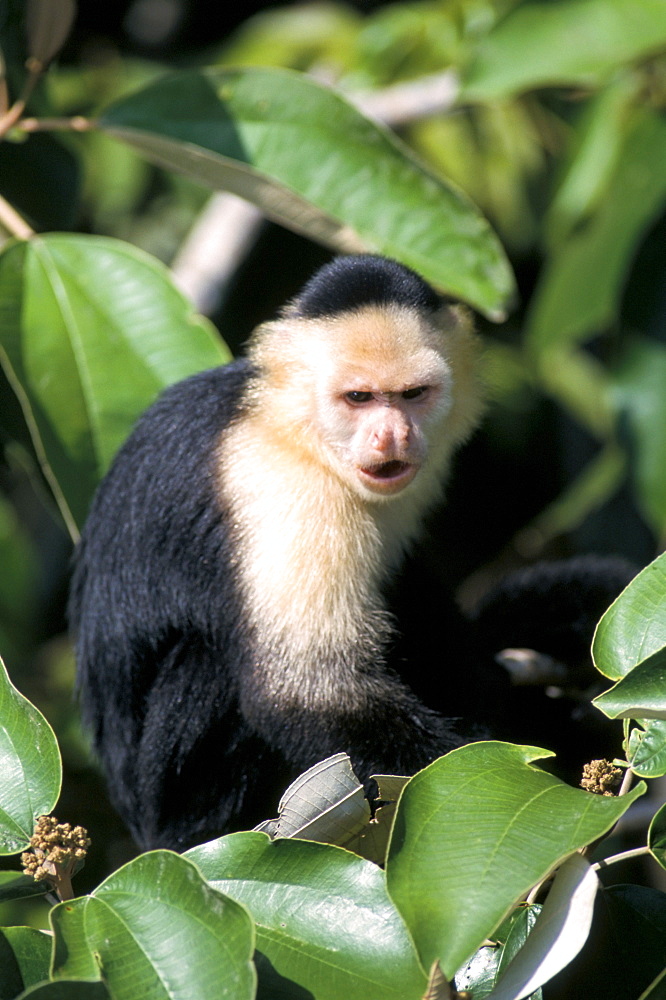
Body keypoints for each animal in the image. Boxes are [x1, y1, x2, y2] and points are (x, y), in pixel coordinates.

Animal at [68, 254, 632, 848]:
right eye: (358, 398)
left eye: (413, 394)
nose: (391, 437)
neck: (295, 427)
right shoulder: (286, 488)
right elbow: (311, 691)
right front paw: (502, 776)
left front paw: (510, 703)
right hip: (176, 811)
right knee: (211, 666)